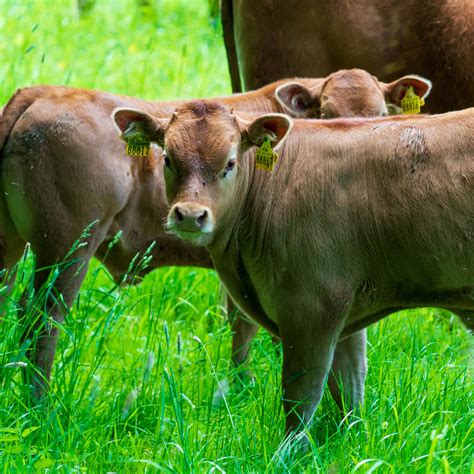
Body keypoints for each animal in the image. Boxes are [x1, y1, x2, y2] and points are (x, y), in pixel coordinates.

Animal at [112, 103, 474, 440]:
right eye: (168, 159)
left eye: (229, 163)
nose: (189, 215)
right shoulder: (348, 309)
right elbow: (350, 387)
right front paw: (353, 443)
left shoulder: (312, 308)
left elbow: (301, 399)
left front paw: (286, 455)